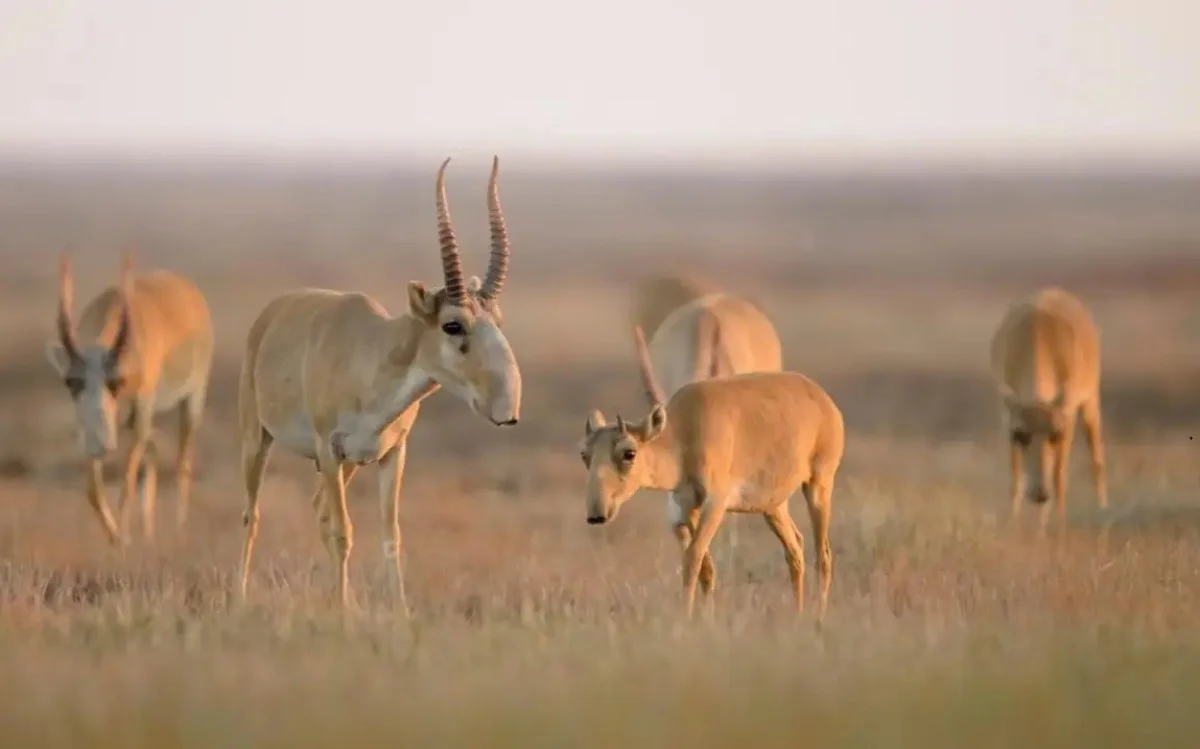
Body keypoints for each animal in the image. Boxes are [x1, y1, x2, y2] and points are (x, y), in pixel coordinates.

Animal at [45, 252, 216, 544]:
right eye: (71, 381)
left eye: (117, 381)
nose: (100, 443)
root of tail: (189, 291)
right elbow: (94, 490)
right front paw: (118, 539)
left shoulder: (141, 413)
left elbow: (126, 482)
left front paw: (124, 541)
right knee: (154, 449)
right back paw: (149, 534)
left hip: (191, 400)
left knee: (182, 463)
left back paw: (179, 532)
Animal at [240, 154, 525, 612]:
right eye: (453, 324)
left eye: (496, 320)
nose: (507, 407)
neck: (371, 356)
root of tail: (272, 312)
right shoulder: (330, 449)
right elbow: (343, 533)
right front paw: (343, 615)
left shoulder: (391, 455)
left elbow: (391, 537)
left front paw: (399, 613)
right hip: (258, 439)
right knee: (252, 514)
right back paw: (239, 597)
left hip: (348, 465)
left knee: (319, 508)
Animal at [573, 321, 840, 619]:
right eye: (584, 454)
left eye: (629, 453)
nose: (597, 514)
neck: (683, 431)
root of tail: (822, 398)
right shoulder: (688, 505)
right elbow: (705, 567)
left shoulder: (716, 503)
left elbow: (693, 557)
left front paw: (685, 617)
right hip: (772, 506)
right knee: (795, 549)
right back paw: (797, 613)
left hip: (818, 485)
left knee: (823, 554)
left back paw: (818, 615)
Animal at [988, 283, 1108, 535]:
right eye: (1021, 435)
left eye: (1055, 434)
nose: (1040, 493)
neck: (1038, 336)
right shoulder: (1008, 421)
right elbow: (1016, 479)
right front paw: (1012, 526)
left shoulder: (1067, 419)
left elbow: (1059, 477)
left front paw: (1060, 527)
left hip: (1091, 403)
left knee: (1096, 460)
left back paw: (1102, 512)